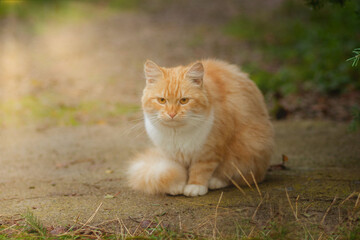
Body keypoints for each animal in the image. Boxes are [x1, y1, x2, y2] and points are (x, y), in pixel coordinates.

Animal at [126, 59, 272, 196]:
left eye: (184, 100)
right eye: (162, 100)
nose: (172, 114)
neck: (176, 134)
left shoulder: (209, 151)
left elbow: (201, 170)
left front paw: (195, 186)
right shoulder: (171, 154)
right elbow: (177, 169)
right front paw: (177, 184)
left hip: (248, 146)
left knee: (242, 175)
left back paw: (216, 181)